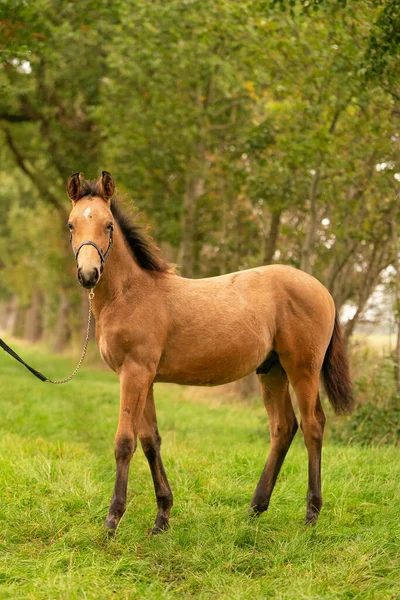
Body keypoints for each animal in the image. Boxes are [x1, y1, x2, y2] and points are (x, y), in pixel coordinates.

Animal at [65, 172, 354, 536]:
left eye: (108, 225)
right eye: (71, 224)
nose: (88, 274)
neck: (130, 294)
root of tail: (322, 290)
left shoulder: (134, 373)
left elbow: (125, 442)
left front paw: (112, 520)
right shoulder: (145, 378)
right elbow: (150, 440)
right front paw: (162, 518)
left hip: (303, 369)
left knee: (313, 425)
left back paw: (311, 515)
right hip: (271, 370)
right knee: (283, 427)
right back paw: (255, 509)